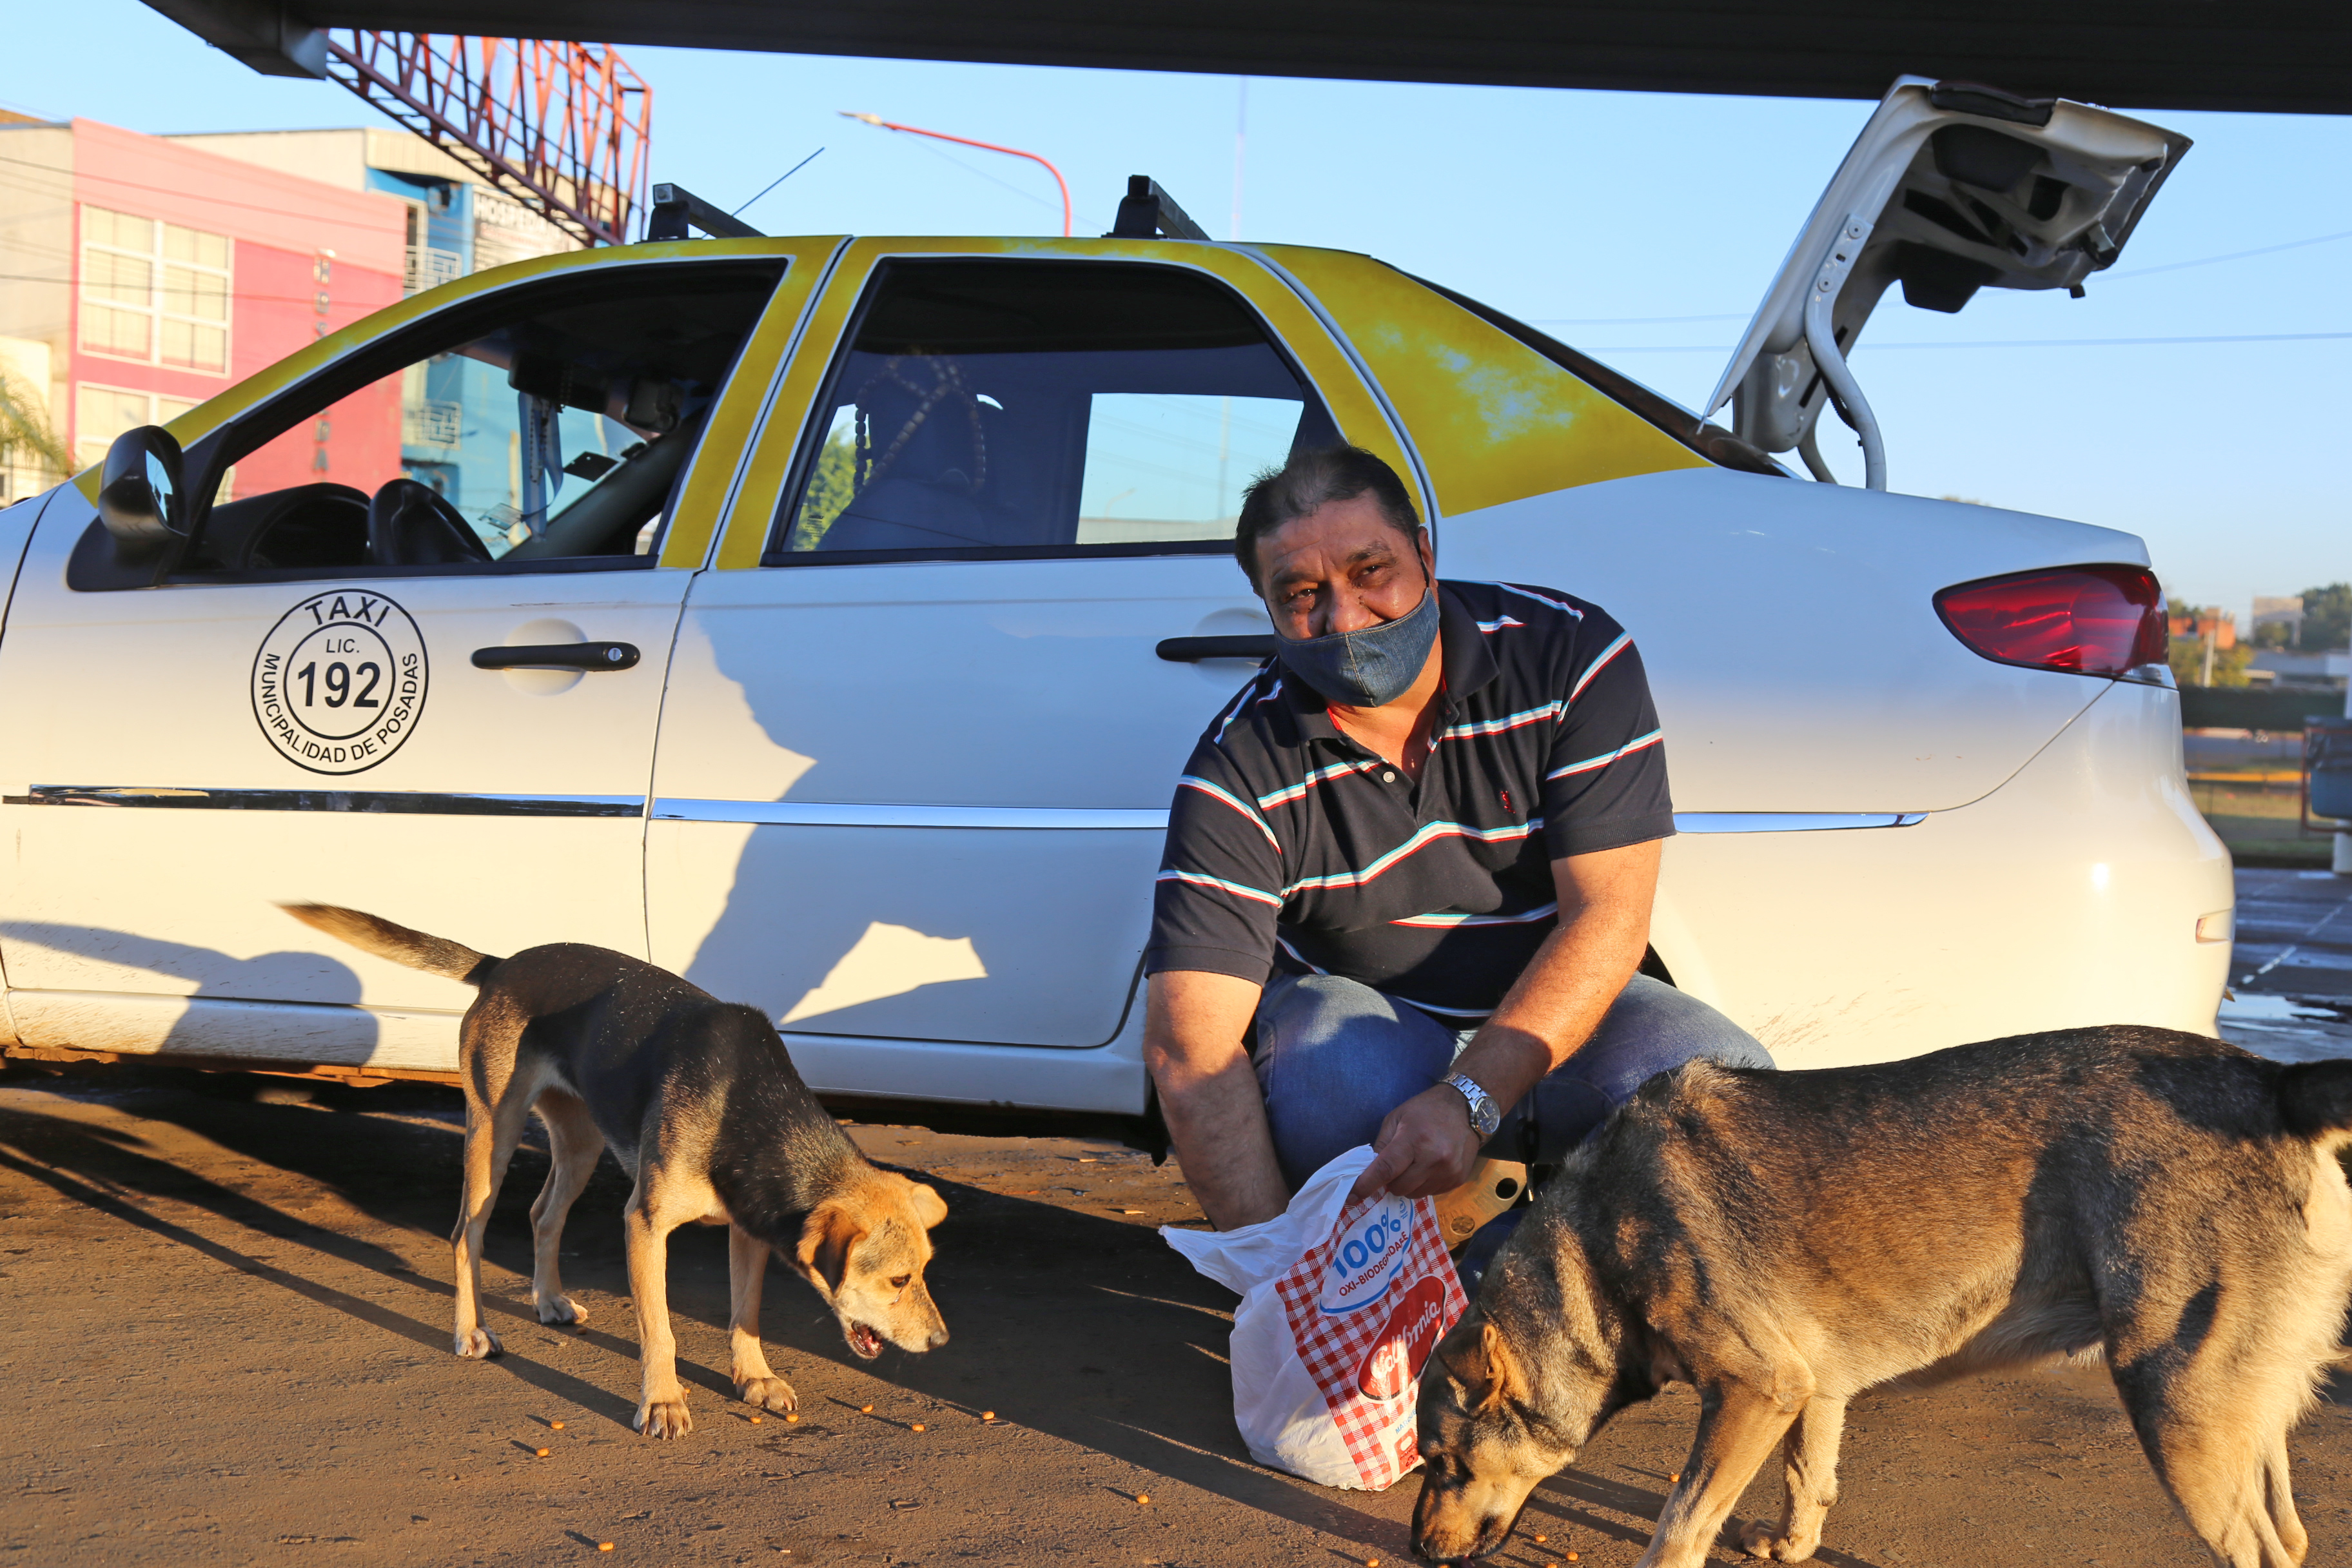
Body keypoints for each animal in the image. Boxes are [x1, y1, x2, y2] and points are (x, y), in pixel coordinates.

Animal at [289, 903, 950, 1438]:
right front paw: (662, 1403)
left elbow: (747, 1312)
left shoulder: (749, 1230)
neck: (750, 1108)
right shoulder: (645, 1224)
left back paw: (549, 1299)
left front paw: (754, 1377)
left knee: (543, 1214)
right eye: (897, 1280)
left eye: (925, 1270)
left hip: (581, 1141)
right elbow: (660, 1330)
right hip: (493, 1134)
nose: (941, 1342)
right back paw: (471, 1332)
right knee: (465, 1234)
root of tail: (502, 965)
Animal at [1402, 1030, 2352, 1568]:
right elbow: (1808, 1480)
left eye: (1446, 1464)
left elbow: (1679, 1523)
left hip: (2181, 1415)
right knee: (2296, 1537)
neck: (1595, 1243)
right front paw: (1792, 1547)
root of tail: (2276, 1078)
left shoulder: (1756, 1390)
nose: (1416, 1549)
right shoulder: (1809, 1390)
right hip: (2235, 1411)